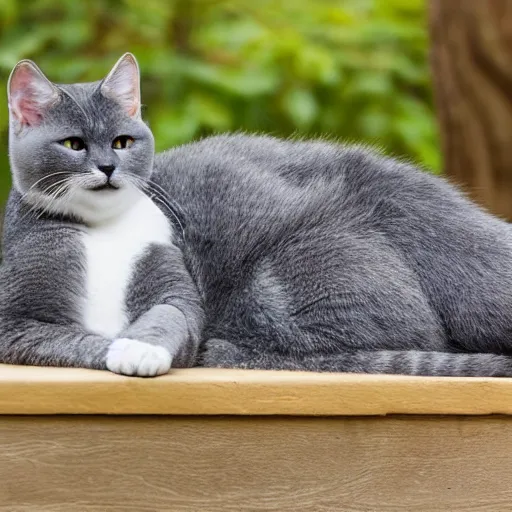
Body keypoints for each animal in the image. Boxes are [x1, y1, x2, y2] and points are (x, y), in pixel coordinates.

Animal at [2, 54, 512, 378]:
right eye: (73, 145)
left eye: (122, 143)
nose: (108, 167)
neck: (101, 231)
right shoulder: (14, 320)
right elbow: (68, 338)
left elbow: (163, 318)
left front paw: (143, 347)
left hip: (288, 280)